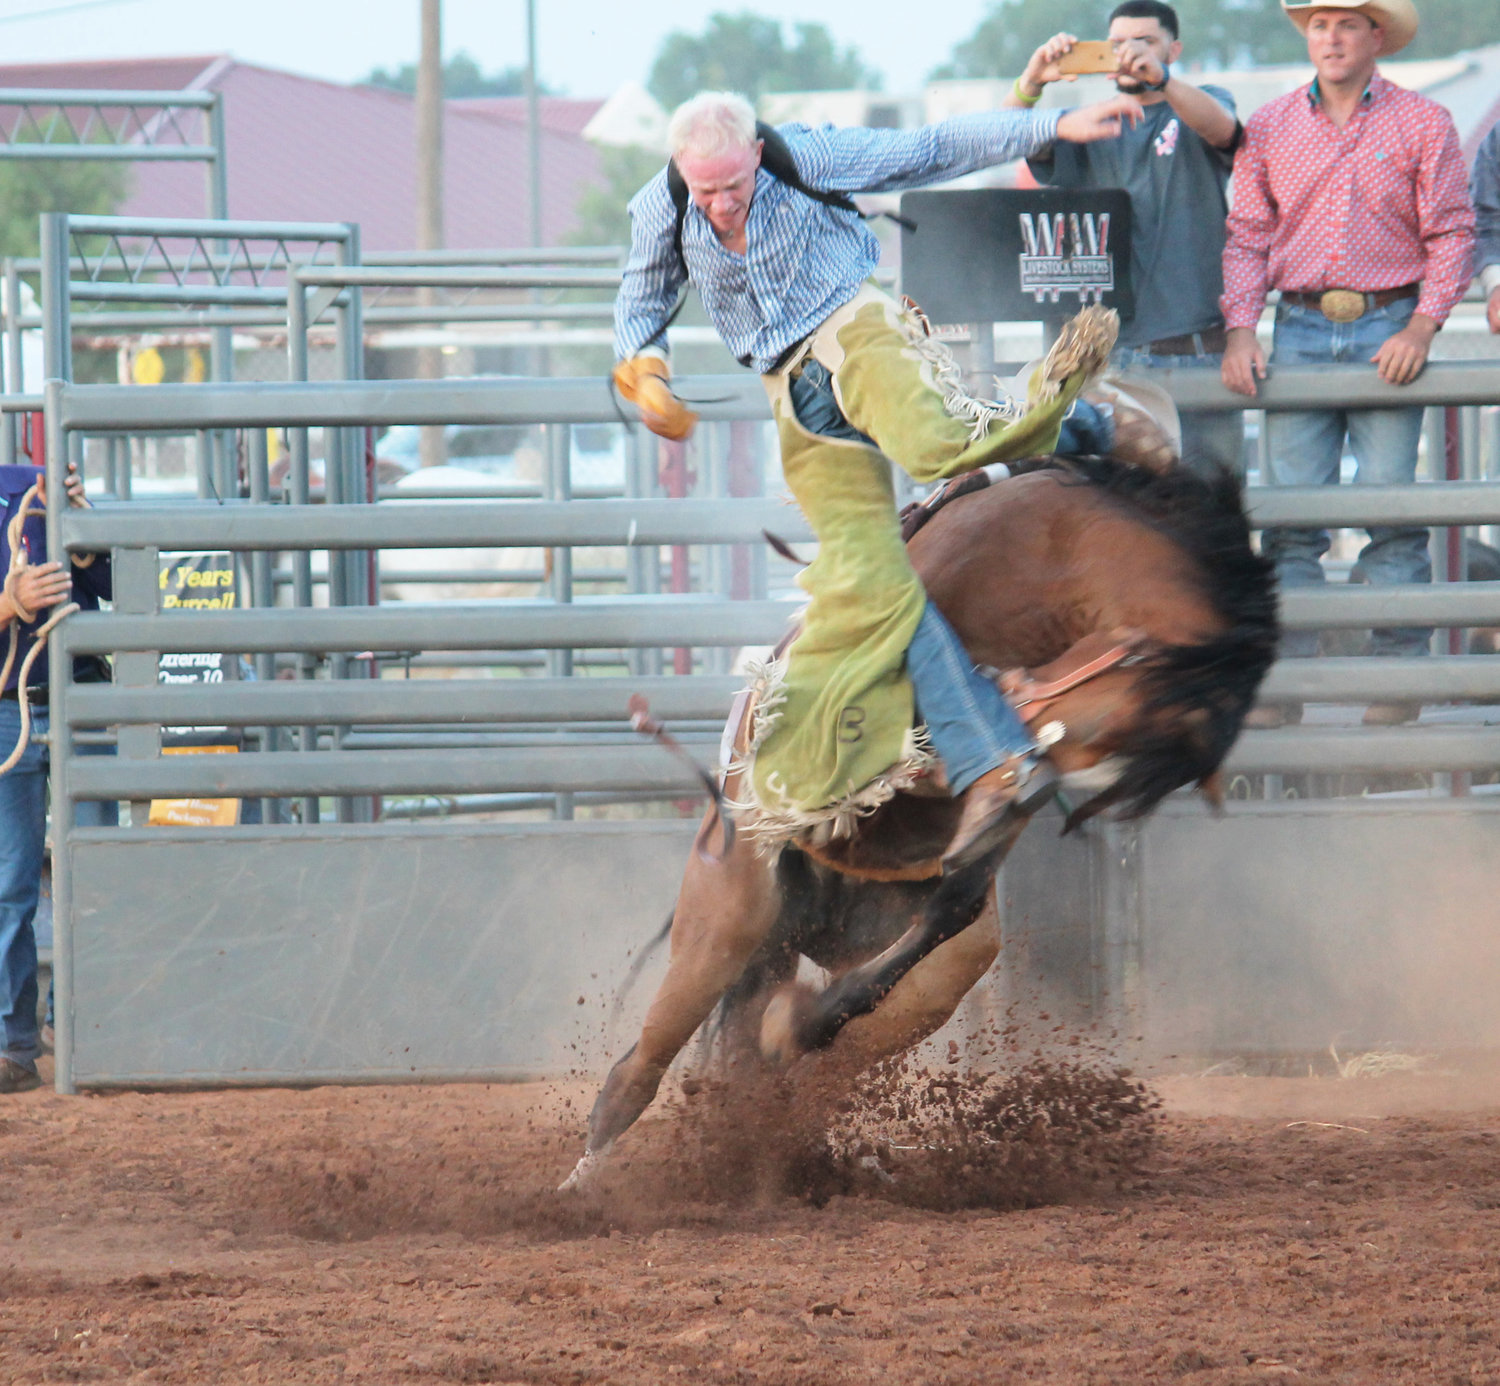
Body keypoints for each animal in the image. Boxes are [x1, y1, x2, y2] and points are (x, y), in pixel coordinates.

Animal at [564, 456, 1278, 1194]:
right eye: (1093, 734)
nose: (1024, 786)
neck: (1053, 547)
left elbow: (950, 904)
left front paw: (799, 1023)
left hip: (921, 975)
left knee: (806, 1058)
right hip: (726, 920)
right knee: (637, 1069)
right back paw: (587, 1185)